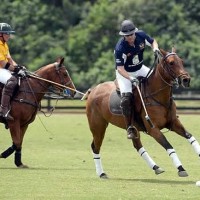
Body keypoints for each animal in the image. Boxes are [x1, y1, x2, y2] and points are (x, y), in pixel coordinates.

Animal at [85, 48, 200, 178]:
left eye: (182, 61)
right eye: (171, 63)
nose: (186, 80)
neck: (158, 97)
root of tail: (93, 90)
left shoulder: (173, 123)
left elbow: (189, 136)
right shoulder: (153, 129)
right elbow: (168, 146)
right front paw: (181, 168)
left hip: (132, 128)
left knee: (137, 145)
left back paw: (156, 167)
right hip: (98, 126)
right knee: (95, 146)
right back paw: (101, 173)